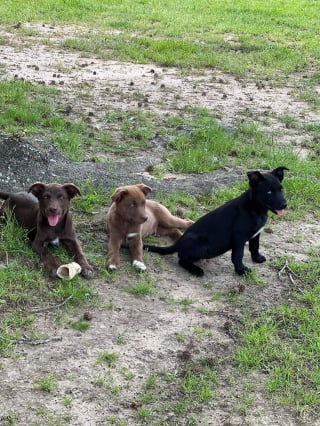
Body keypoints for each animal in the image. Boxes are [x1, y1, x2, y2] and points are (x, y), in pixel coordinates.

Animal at [144, 166, 288, 276]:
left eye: (281, 189)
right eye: (269, 192)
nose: (285, 204)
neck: (255, 209)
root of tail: (179, 242)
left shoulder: (256, 234)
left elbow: (255, 247)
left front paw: (257, 259)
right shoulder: (239, 237)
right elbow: (238, 255)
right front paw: (241, 270)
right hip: (202, 245)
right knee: (181, 259)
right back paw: (196, 270)